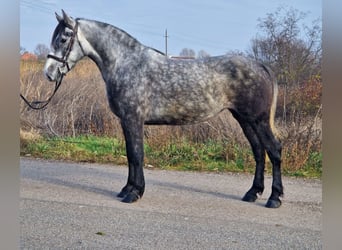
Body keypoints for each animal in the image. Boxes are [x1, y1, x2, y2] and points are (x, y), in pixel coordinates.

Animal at [43, 10, 284, 208]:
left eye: (63, 38)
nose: (49, 73)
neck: (127, 64)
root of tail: (260, 65)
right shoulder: (126, 121)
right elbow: (130, 154)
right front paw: (127, 189)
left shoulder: (133, 119)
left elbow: (137, 155)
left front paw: (135, 193)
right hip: (244, 119)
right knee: (259, 151)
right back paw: (253, 193)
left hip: (258, 120)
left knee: (273, 150)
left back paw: (274, 198)